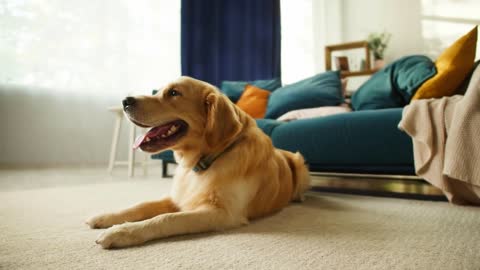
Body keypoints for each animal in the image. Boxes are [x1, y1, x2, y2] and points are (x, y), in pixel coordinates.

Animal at [87, 76, 312, 249]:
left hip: (300, 161)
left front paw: (121, 232)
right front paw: (106, 218)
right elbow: (140, 206)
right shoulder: (178, 197)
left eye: (174, 93)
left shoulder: (223, 213)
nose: (125, 101)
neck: (207, 159)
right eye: (160, 91)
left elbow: (167, 218)